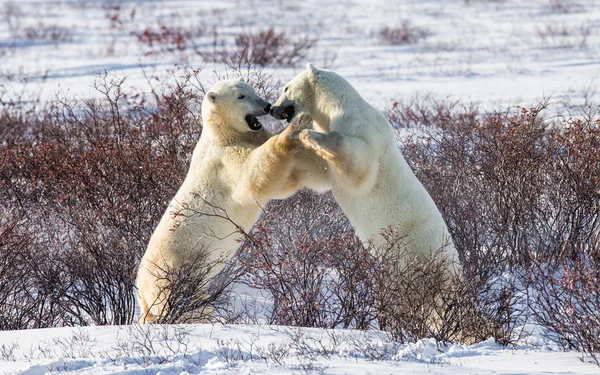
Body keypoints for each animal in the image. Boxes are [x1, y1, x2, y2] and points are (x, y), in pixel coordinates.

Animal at [137, 78, 328, 324]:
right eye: (241, 96)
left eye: (253, 91)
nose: (266, 105)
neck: (222, 133)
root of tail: (141, 291)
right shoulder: (224, 160)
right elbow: (252, 177)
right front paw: (295, 127)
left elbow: (284, 182)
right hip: (175, 275)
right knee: (186, 308)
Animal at [270, 64, 460, 270]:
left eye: (286, 88)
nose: (272, 109)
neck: (338, 104)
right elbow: (319, 170)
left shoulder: (361, 127)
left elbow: (360, 166)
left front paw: (307, 134)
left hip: (417, 245)